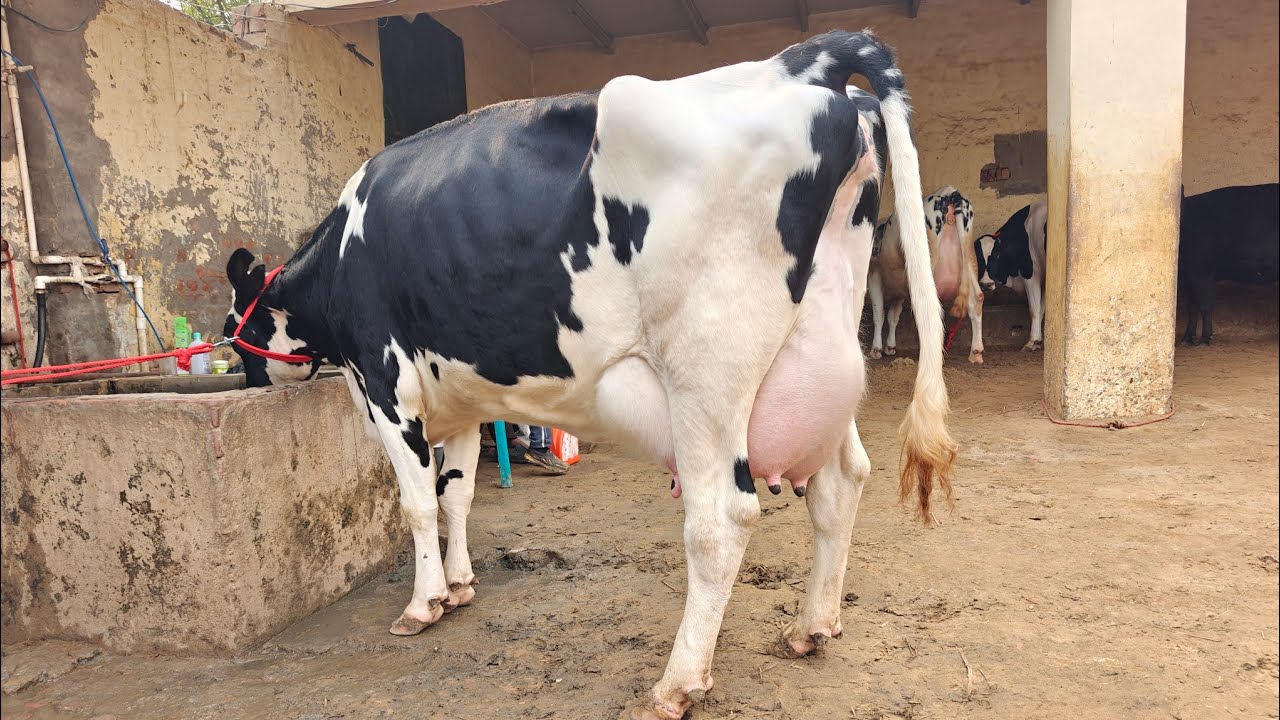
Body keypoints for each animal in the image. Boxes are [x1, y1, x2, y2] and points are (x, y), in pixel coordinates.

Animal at [221, 30, 955, 719]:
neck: (339, 259)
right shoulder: (459, 396)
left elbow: (418, 501)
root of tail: (800, 62)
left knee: (720, 519)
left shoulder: (386, 384)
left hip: (708, 371)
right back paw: (812, 627)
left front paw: (422, 604)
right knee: (841, 482)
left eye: (238, 319)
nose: (241, 375)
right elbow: (458, 494)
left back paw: (676, 683)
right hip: (824, 353)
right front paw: (459, 586)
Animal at [867, 187, 985, 363]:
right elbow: (893, 317)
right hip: (969, 256)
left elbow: (879, 314)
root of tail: (949, 192)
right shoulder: (899, 291)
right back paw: (976, 352)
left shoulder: (874, 275)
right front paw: (890, 346)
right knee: (977, 297)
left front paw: (876, 349)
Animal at [975, 200, 1048, 351]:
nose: (986, 284)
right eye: (978, 257)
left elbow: (1034, 308)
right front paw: (1038, 340)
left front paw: (1032, 341)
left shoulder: (1030, 274)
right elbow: (1042, 308)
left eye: (997, 254)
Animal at [1178, 183, 1280, 346]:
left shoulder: (1203, 270)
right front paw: (1187, 339)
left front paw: (1205, 339)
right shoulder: (1191, 274)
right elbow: (1192, 307)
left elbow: (1205, 305)